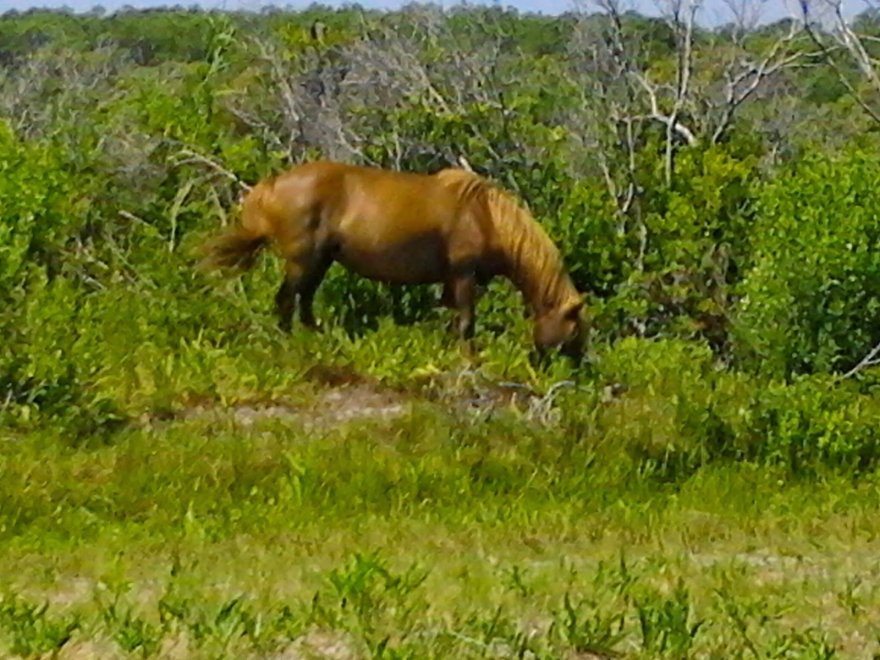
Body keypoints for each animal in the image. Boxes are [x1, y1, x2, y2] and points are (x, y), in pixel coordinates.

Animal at [203, 160, 588, 356]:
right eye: (574, 333)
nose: (573, 371)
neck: (486, 216)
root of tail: (270, 185)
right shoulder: (463, 276)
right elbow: (466, 322)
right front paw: (468, 358)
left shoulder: (450, 281)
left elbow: (451, 321)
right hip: (303, 261)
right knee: (286, 301)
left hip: (320, 261)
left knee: (304, 302)